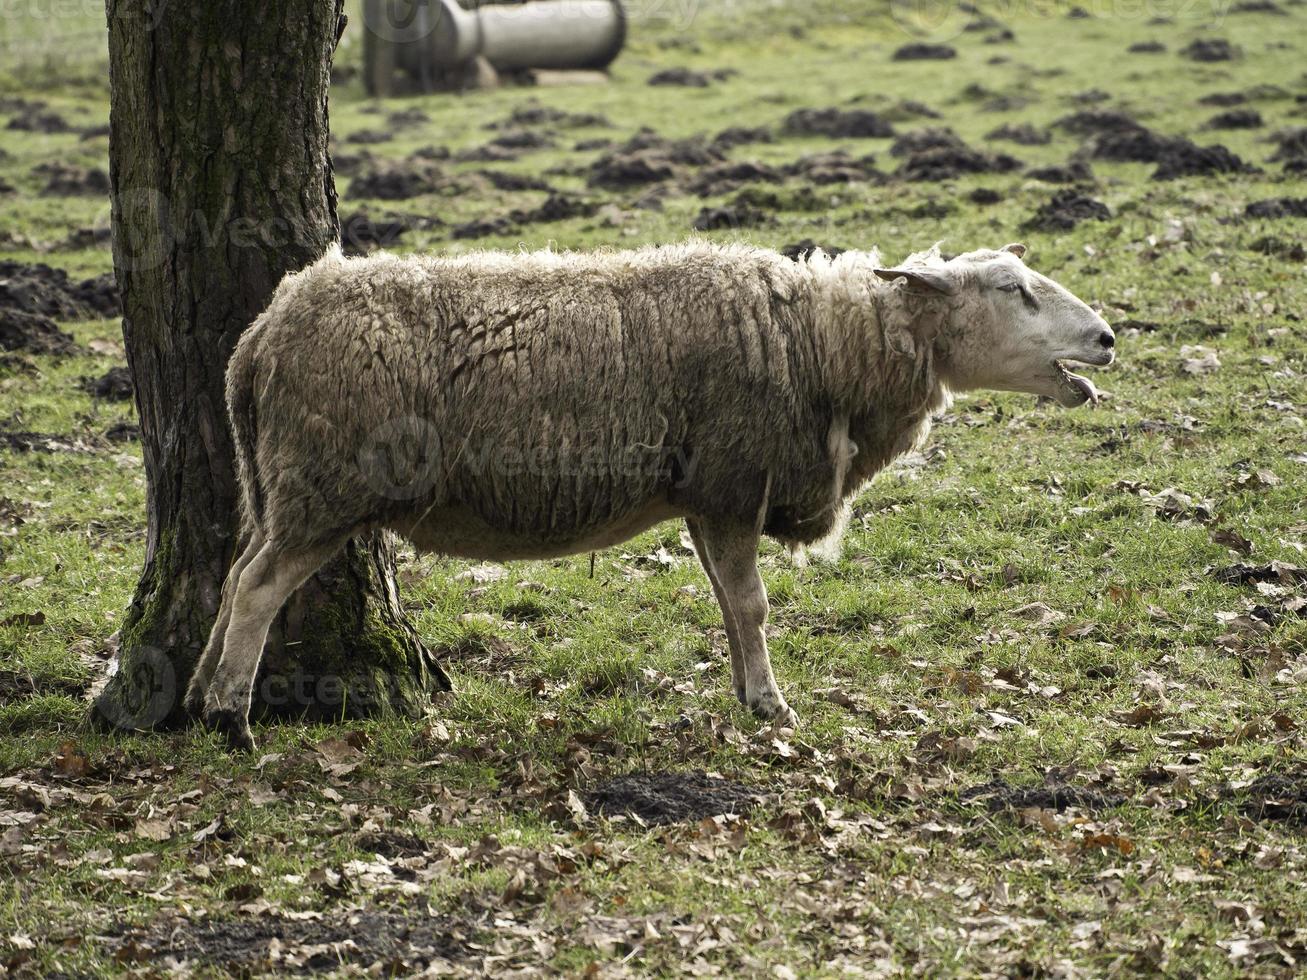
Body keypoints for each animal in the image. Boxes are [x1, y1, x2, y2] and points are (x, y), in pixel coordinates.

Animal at [189, 241, 1118, 747]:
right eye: (1013, 292)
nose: (1107, 338)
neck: (821, 343)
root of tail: (259, 338)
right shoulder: (735, 483)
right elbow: (752, 604)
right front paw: (771, 705)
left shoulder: (708, 494)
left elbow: (729, 606)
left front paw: (748, 694)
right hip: (322, 485)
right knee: (258, 589)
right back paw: (230, 717)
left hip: (277, 488)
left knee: (231, 577)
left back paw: (192, 700)